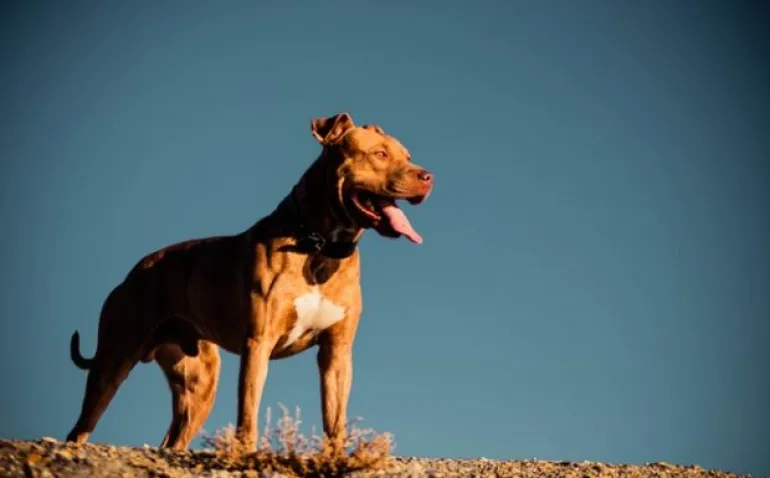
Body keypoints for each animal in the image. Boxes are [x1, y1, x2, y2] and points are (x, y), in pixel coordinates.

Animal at [64, 113, 432, 452]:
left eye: (407, 156)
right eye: (380, 154)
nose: (428, 177)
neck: (319, 245)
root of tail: (136, 269)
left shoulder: (337, 352)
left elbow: (335, 418)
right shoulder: (258, 342)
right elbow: (249, 409)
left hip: (199, 384)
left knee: (173, 439)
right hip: (113, 360)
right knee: (81, 426)